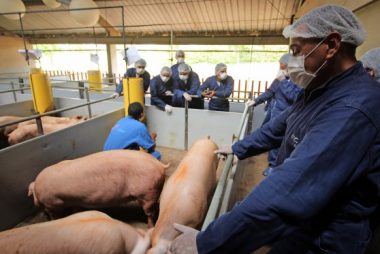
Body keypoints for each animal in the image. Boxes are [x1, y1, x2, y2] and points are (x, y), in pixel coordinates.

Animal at [28, 150, 168, 227]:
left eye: (32, 195)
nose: (41, 211)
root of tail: (159, 164)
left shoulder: (53, 202)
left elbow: (56, 216)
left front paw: (52, 220)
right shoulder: (74, 200)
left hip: (147, 193)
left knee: (150, 212)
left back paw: (150, 226)